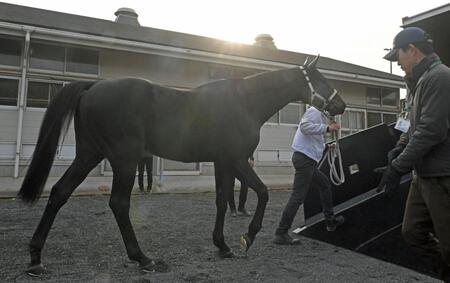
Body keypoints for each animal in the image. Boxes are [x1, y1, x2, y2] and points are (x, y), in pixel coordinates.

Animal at [16, 55, 344, 276]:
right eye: (322, 79)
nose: (340, 105)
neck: (244, 102)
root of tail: (92, 87)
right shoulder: (236, 159)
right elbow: (262, 193)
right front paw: (247, 237)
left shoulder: (222, 162)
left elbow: (221, 201)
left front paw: (222, 246)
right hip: (124, 160)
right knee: (118, 203)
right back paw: (143, 258)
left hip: (89, 154)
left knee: (59, 193)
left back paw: (35, 258)